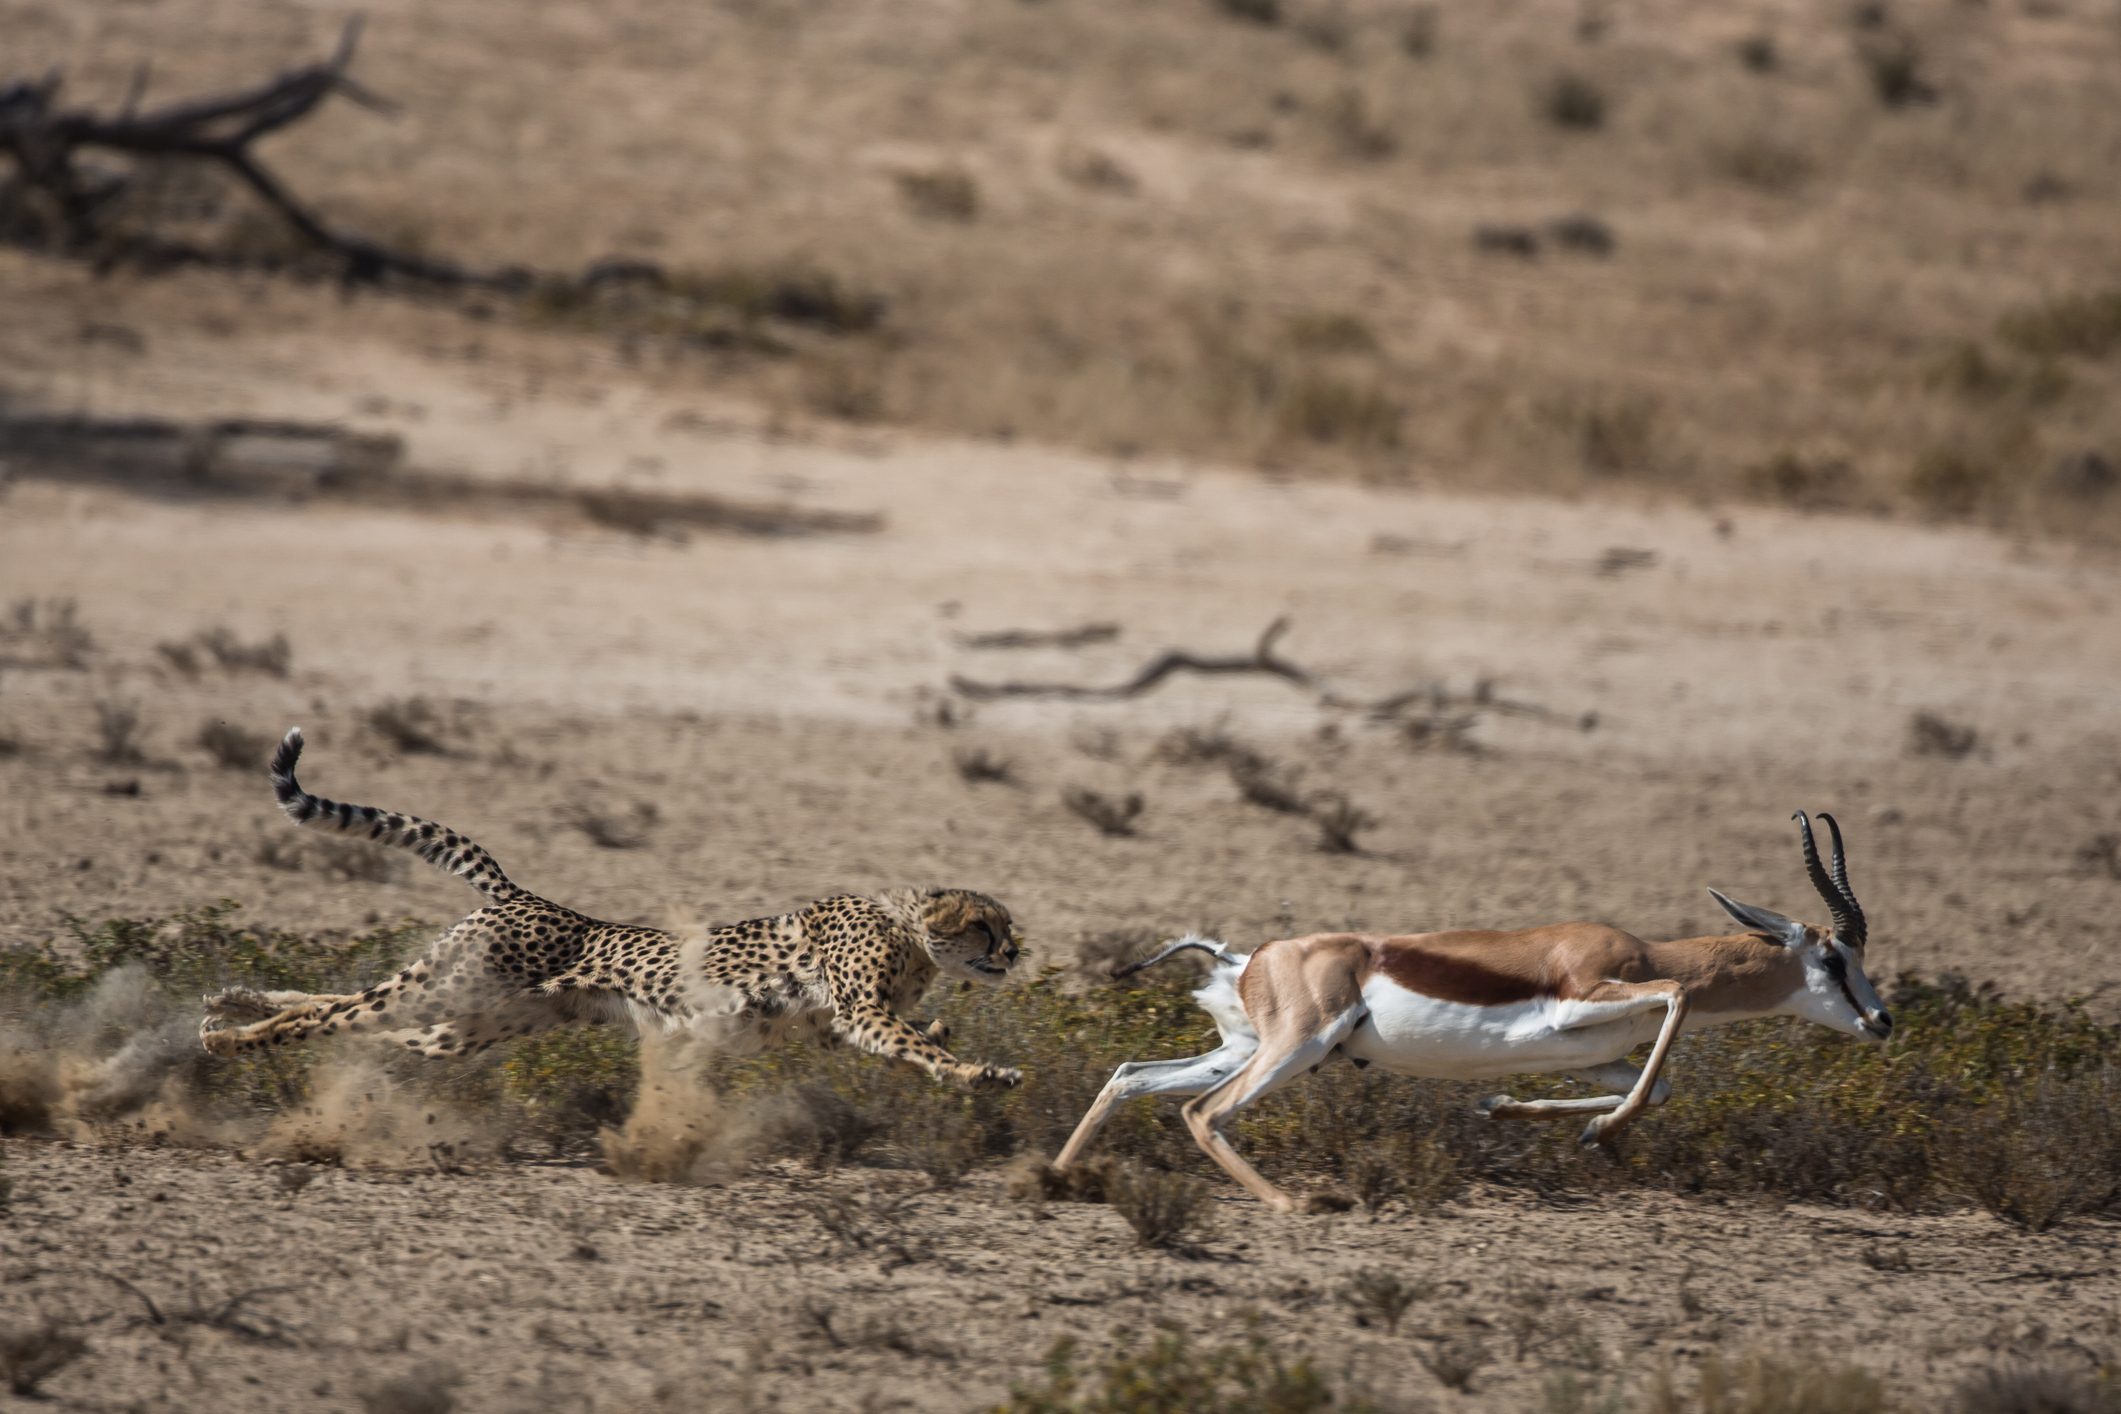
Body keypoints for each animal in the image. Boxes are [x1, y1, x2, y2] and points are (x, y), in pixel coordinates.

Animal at [198, 728, 1024, 1088]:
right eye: (985, 926)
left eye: (1008, 928)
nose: (1016, 953)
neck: (911, 934)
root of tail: (525, 896)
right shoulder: (860, 1010)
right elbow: (917, 1045)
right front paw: (977, 1071)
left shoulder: (829, 1027)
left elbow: (909, 1036)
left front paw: (951, 1039)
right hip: (448, 994)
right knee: (329, 1014)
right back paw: (229, 1039)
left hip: (458, 1025)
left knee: (338, 1009)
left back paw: (225, 1005)